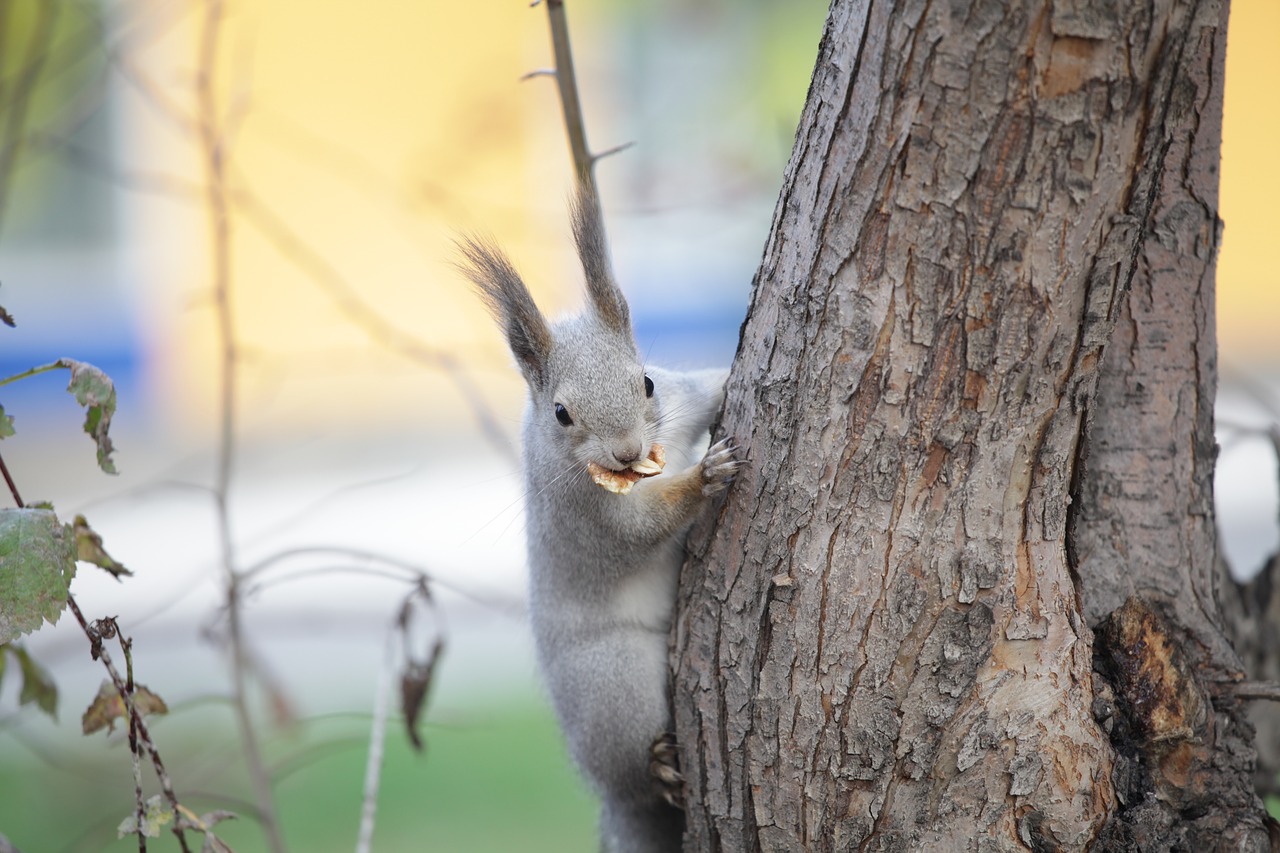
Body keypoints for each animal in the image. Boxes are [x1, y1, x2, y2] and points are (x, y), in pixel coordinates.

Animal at [460, 183, 742, 845]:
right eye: (562, 413)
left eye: (647, 382)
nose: (627, 452)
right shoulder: (583, 511)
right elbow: (639, 529)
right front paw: (704, 477)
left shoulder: (681, 401)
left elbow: (704, 393)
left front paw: (725, 380)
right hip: (615, 684)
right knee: (632, 769)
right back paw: (657, 767)